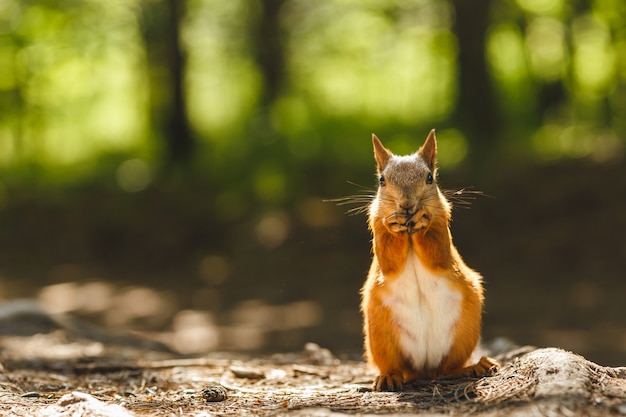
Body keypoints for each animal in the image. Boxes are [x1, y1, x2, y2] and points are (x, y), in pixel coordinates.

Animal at [360, 129, 498, 390]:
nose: (406, 205)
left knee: (449, 368)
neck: (409, 232)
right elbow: (389, 261)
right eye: (382, 180)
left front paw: (422, 219)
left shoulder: (442, 229)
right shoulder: (377, 228)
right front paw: (394, 223)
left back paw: (475, 366)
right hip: (381, 337)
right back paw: (388, 377)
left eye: (429, 178)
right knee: (395, 367)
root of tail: (424, 370)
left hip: (464, 332)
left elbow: (437, 253)